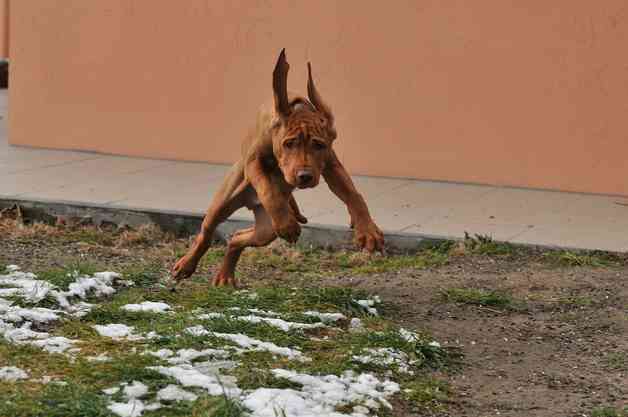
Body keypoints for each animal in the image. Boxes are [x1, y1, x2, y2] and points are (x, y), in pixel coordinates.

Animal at [174, 49, 386, 286]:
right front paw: (287, 224)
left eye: (319, 145)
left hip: (266, 230)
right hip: (224, 202)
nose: (305, 176)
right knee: (207, 232)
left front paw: (367, 230)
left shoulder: (331, 165)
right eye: (288, 144)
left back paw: (225, 276)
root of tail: (252, 202)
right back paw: (186, 265)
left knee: (237, 238)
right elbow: (268, 189)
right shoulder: (254, 162)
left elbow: (353, 195)